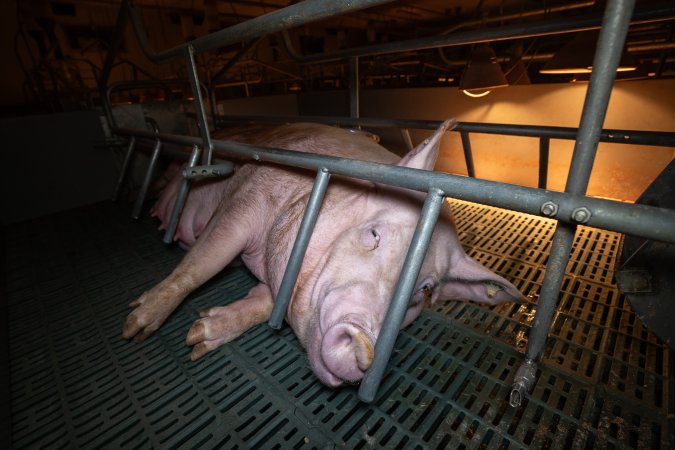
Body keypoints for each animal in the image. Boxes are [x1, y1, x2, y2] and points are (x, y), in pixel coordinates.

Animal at [124, 119, 524, 386]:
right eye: (373, 234)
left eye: (423, 291)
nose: (363, 345)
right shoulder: (246, 196)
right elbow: (204, 262)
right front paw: (134, 327)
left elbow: (264, 304)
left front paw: (200, 336)